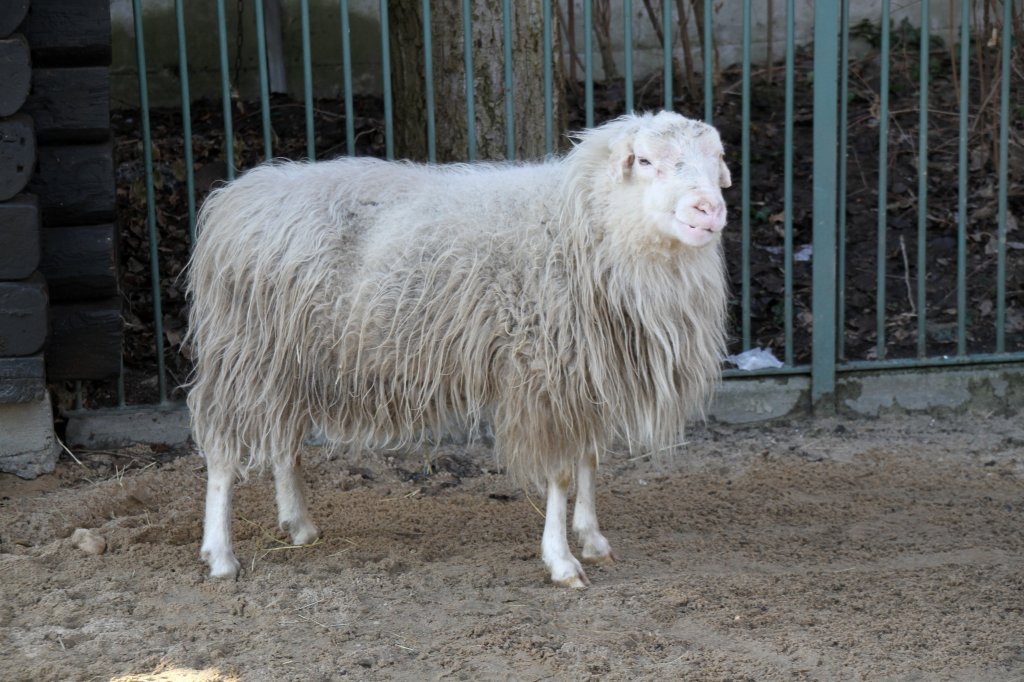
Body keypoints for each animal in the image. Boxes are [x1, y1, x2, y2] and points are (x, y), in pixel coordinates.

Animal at [188, 110, 733, 585]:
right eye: (644, 160)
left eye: (717, 157)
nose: (708, 209)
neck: (580, 222)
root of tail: (234, 197)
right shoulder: (543, 373)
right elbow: (559, 473)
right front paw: (561, 561)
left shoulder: (583, 371)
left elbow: (589, 461)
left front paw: (594, 539)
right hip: (245, 352)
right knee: (221, 453)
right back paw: (221, 555)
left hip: (288, 361)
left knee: (283, 440)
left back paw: (298, 525)